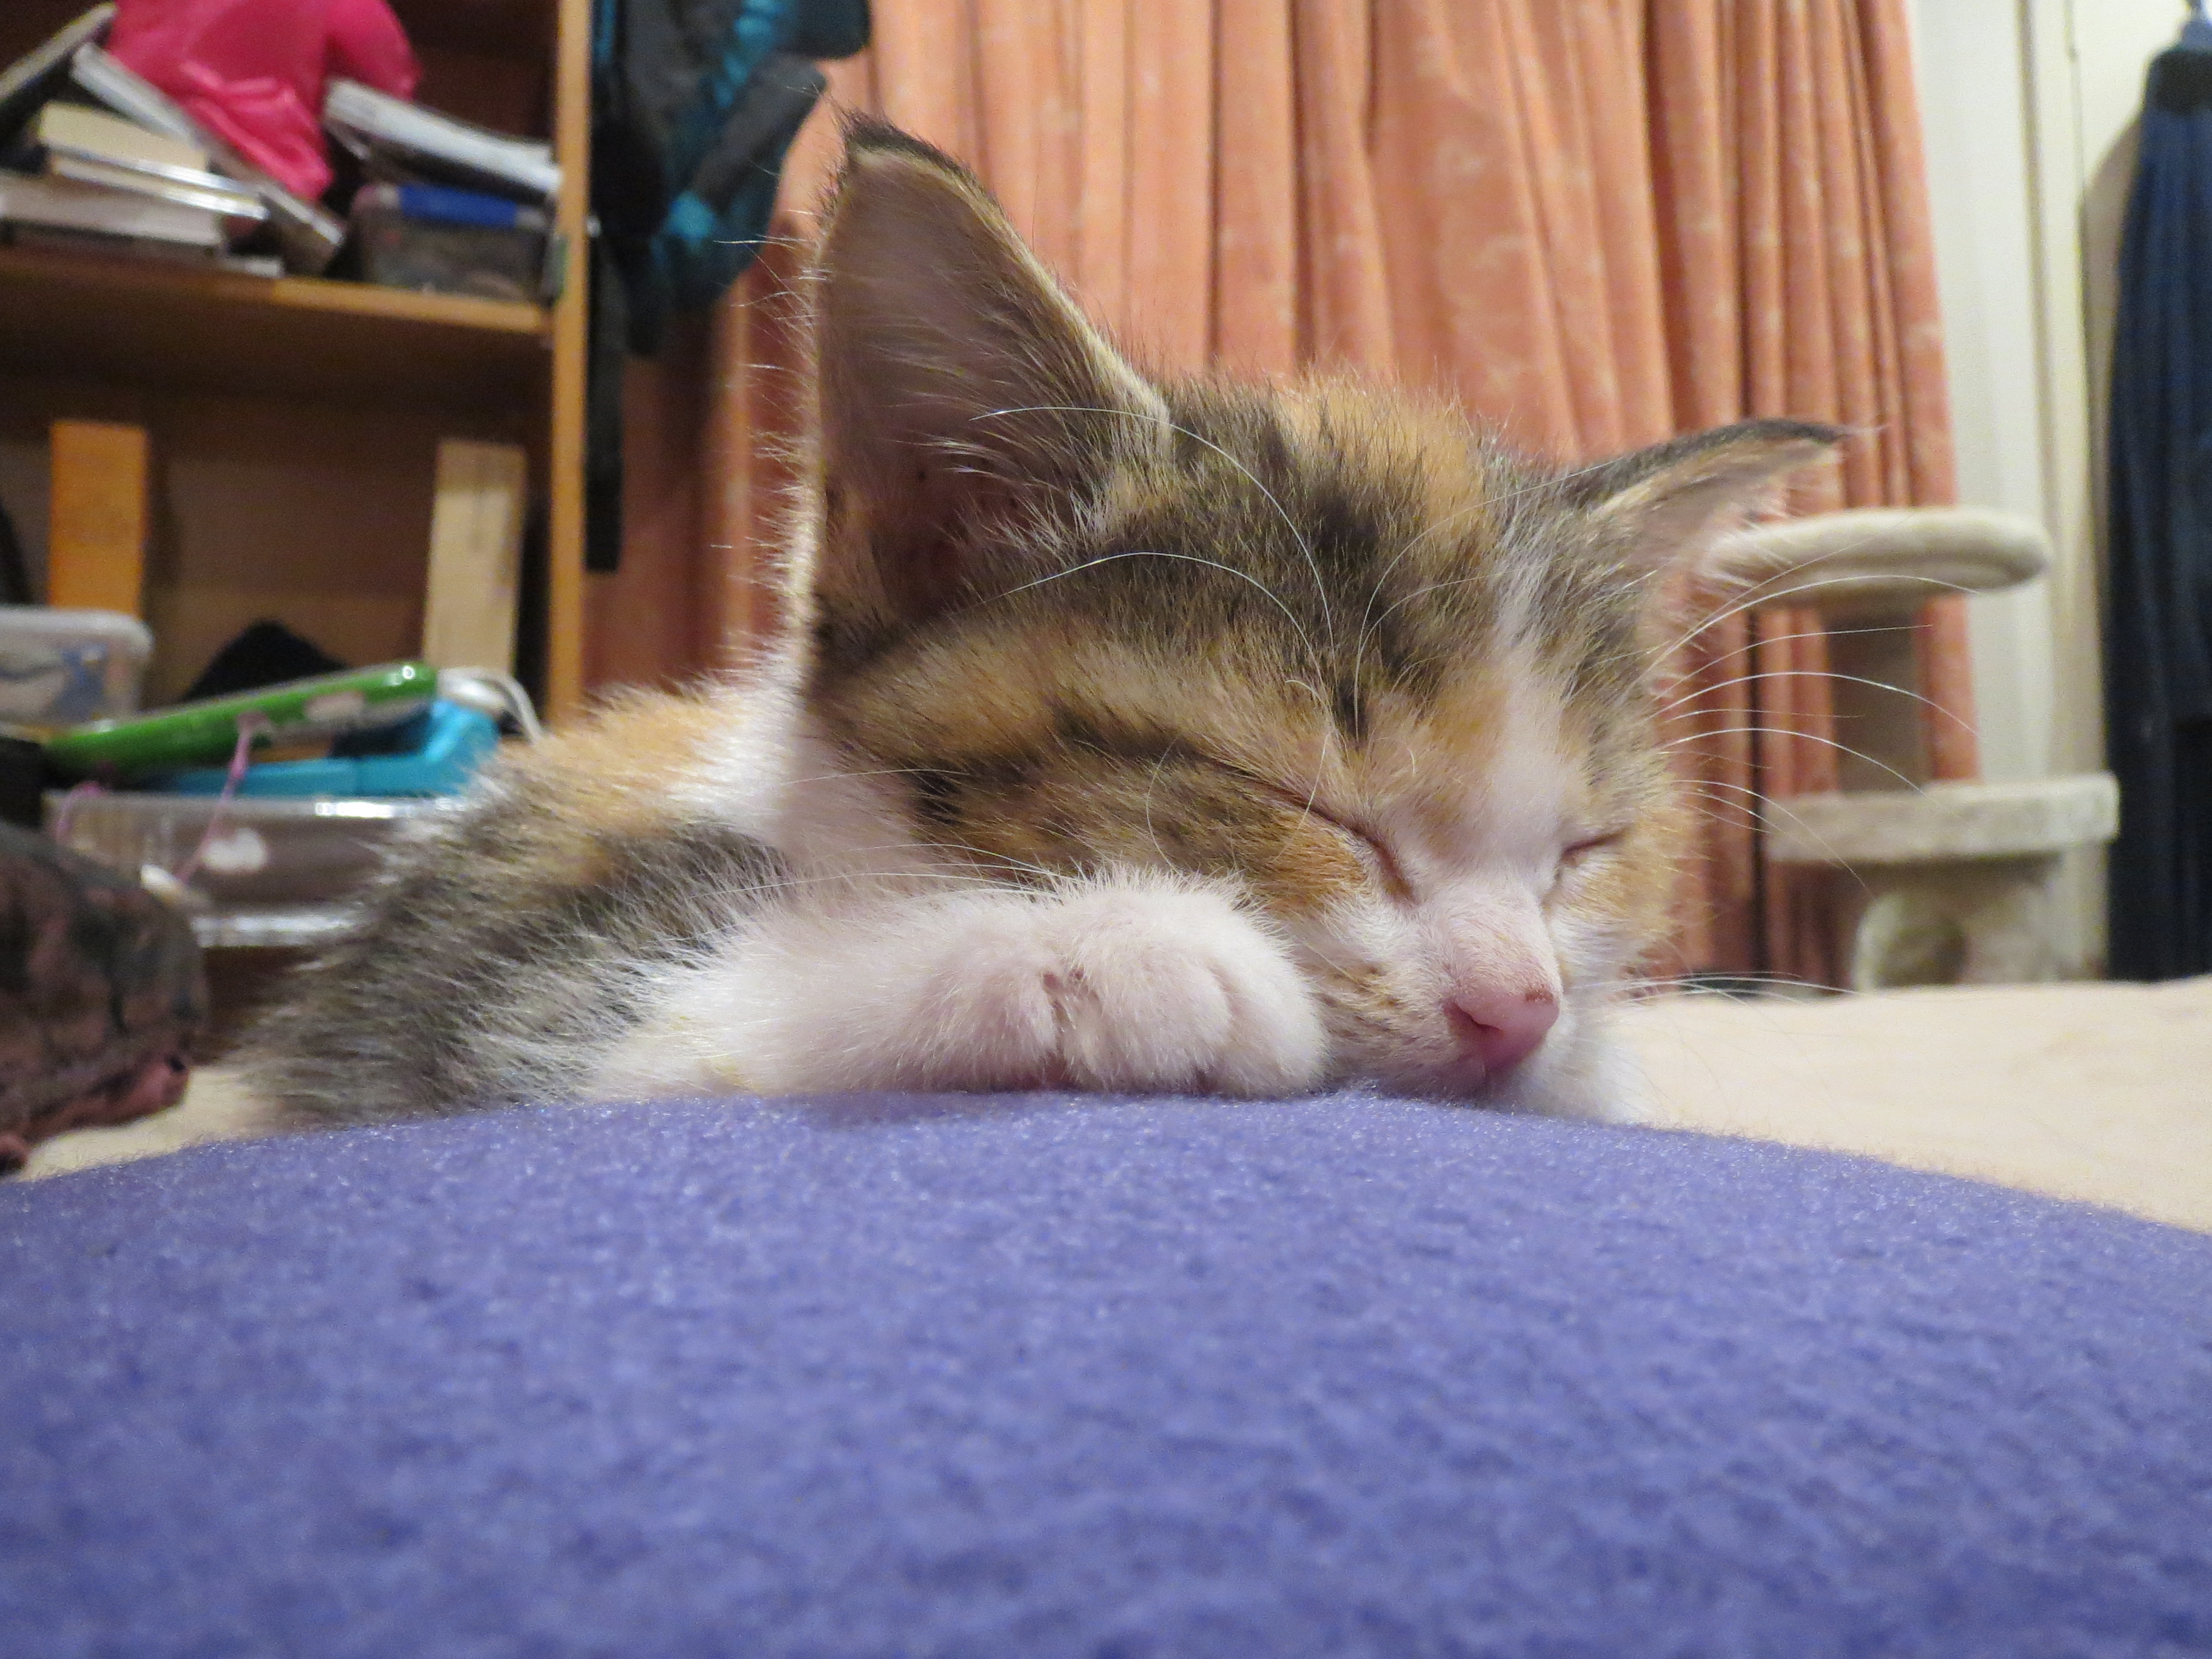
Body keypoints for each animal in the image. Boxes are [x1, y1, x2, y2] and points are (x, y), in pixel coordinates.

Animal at [244, 119, 1835, 1127]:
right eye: (1303, 804)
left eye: (1590, 849)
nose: (1518, 1006)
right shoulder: (495, 1009)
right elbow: (650, 1022)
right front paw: (1112, 950)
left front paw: (1582, 1062)